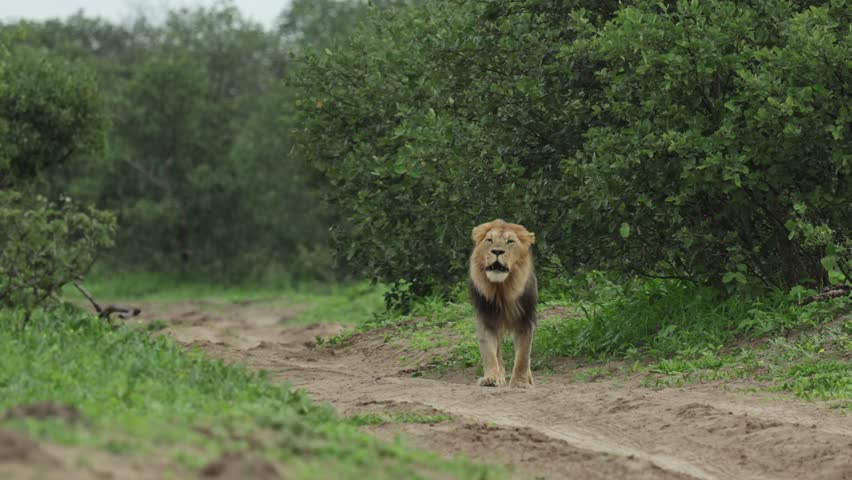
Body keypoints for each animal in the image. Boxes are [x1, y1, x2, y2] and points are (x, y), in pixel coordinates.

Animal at [469, 219, 537, 388]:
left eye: (510, 241)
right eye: (489, 240)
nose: (497, 251)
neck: (502, 289)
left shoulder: (525, 321)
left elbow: (523, 356)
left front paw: (520, 382)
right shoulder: (486, 320)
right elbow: (489, 353)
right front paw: (491, 378)